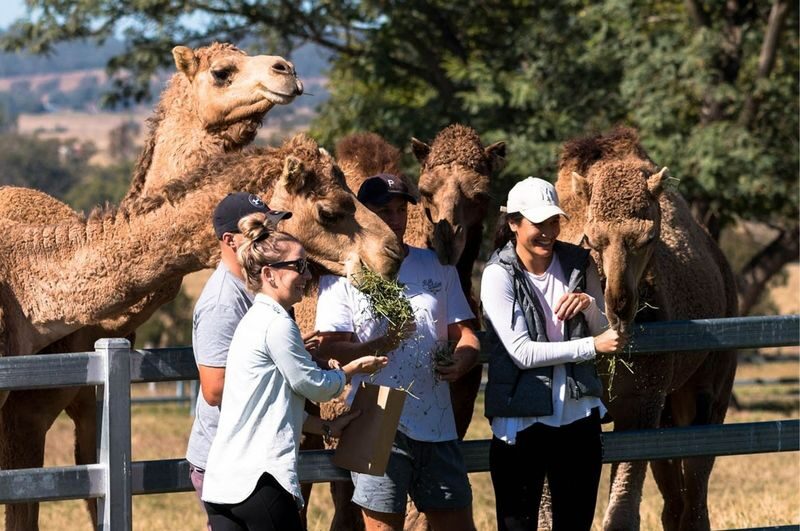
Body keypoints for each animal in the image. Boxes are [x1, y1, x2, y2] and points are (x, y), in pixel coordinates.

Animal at [558, 127, 738, 531]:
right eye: (592, 239)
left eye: (649, 238)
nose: (620, 305)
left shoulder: (641, 403)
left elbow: (622, 514)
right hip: (669, 408)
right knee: (675, 497)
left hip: (711, 387)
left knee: (696, 484)